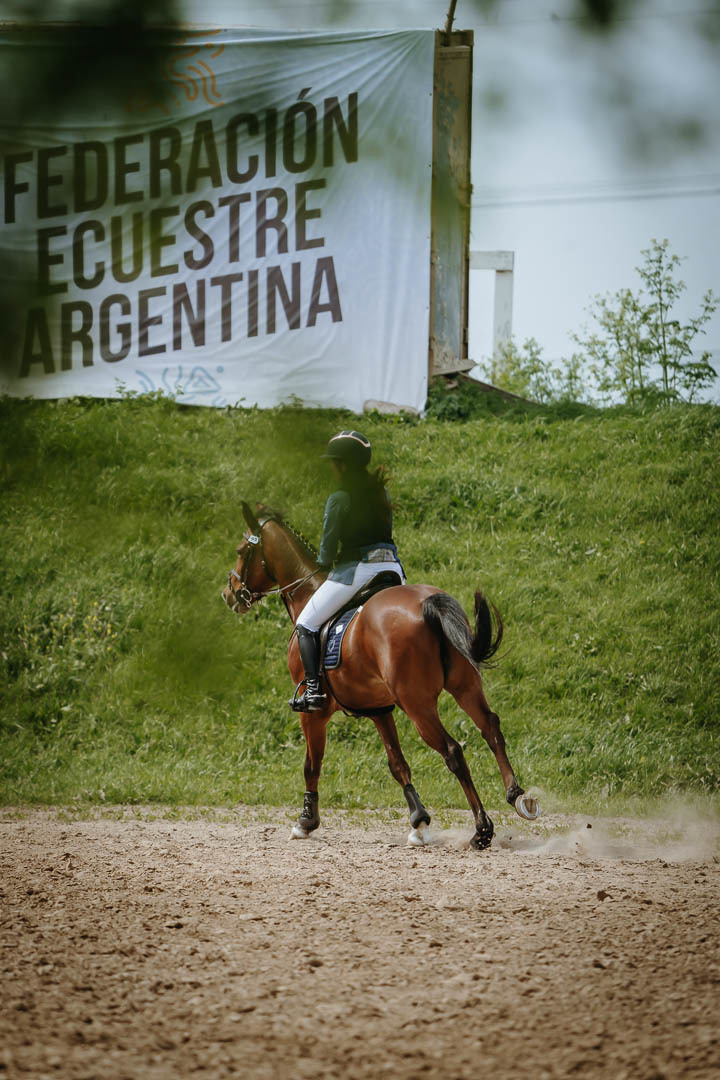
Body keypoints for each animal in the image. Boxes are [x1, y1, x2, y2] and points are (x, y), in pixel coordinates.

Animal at [222, 501, 540, 850]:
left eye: (241, 550)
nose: (230, 592)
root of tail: (428, 602)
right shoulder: (379, 710)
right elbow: (397, 764)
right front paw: (419, 822)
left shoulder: (315, 713)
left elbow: (311, 765)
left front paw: (306, 821)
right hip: (464, 687)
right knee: (491, 728)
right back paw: (517, 796)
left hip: (417, 705)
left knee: (453, 751)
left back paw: (482, 828)